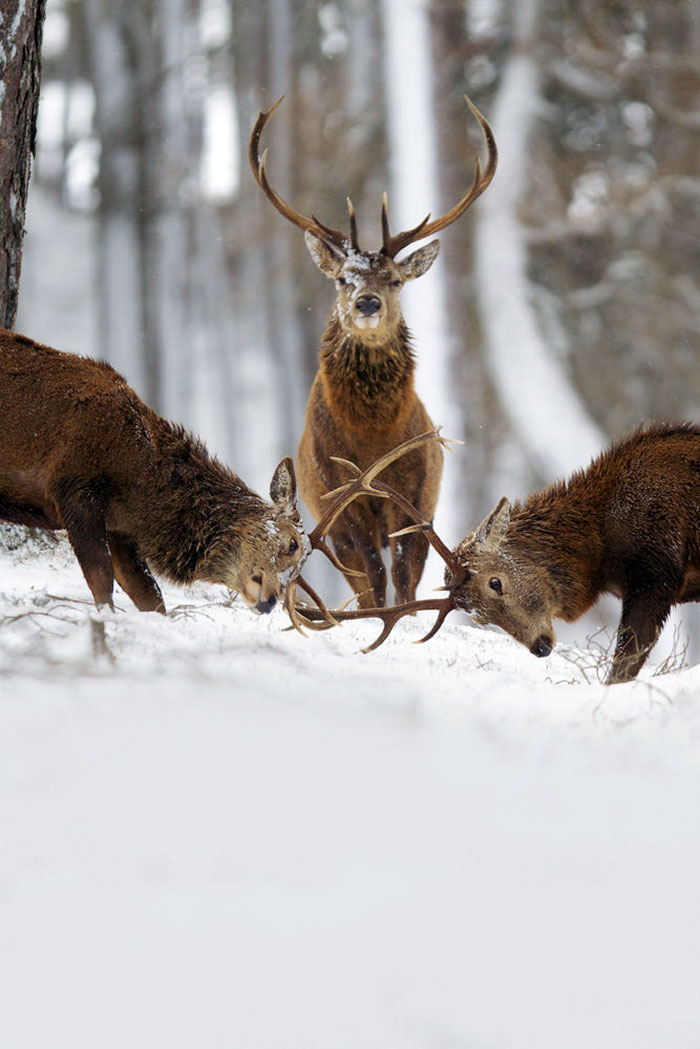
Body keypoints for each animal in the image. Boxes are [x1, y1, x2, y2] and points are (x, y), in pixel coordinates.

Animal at [0, 330, 309, 616]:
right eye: (292, 545)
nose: (271, 600)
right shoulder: (73, 486)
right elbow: (101, 579)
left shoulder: (120, 528)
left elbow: (150, 595)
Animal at [249, 95, 497, 608]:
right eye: (345, 278)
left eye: (396, 280)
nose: (367, 302)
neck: (372, 440)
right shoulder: (341, 499)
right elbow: (374, 576)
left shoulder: (416, 497)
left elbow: (403, 573)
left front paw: (406, 615)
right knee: (362, 579)